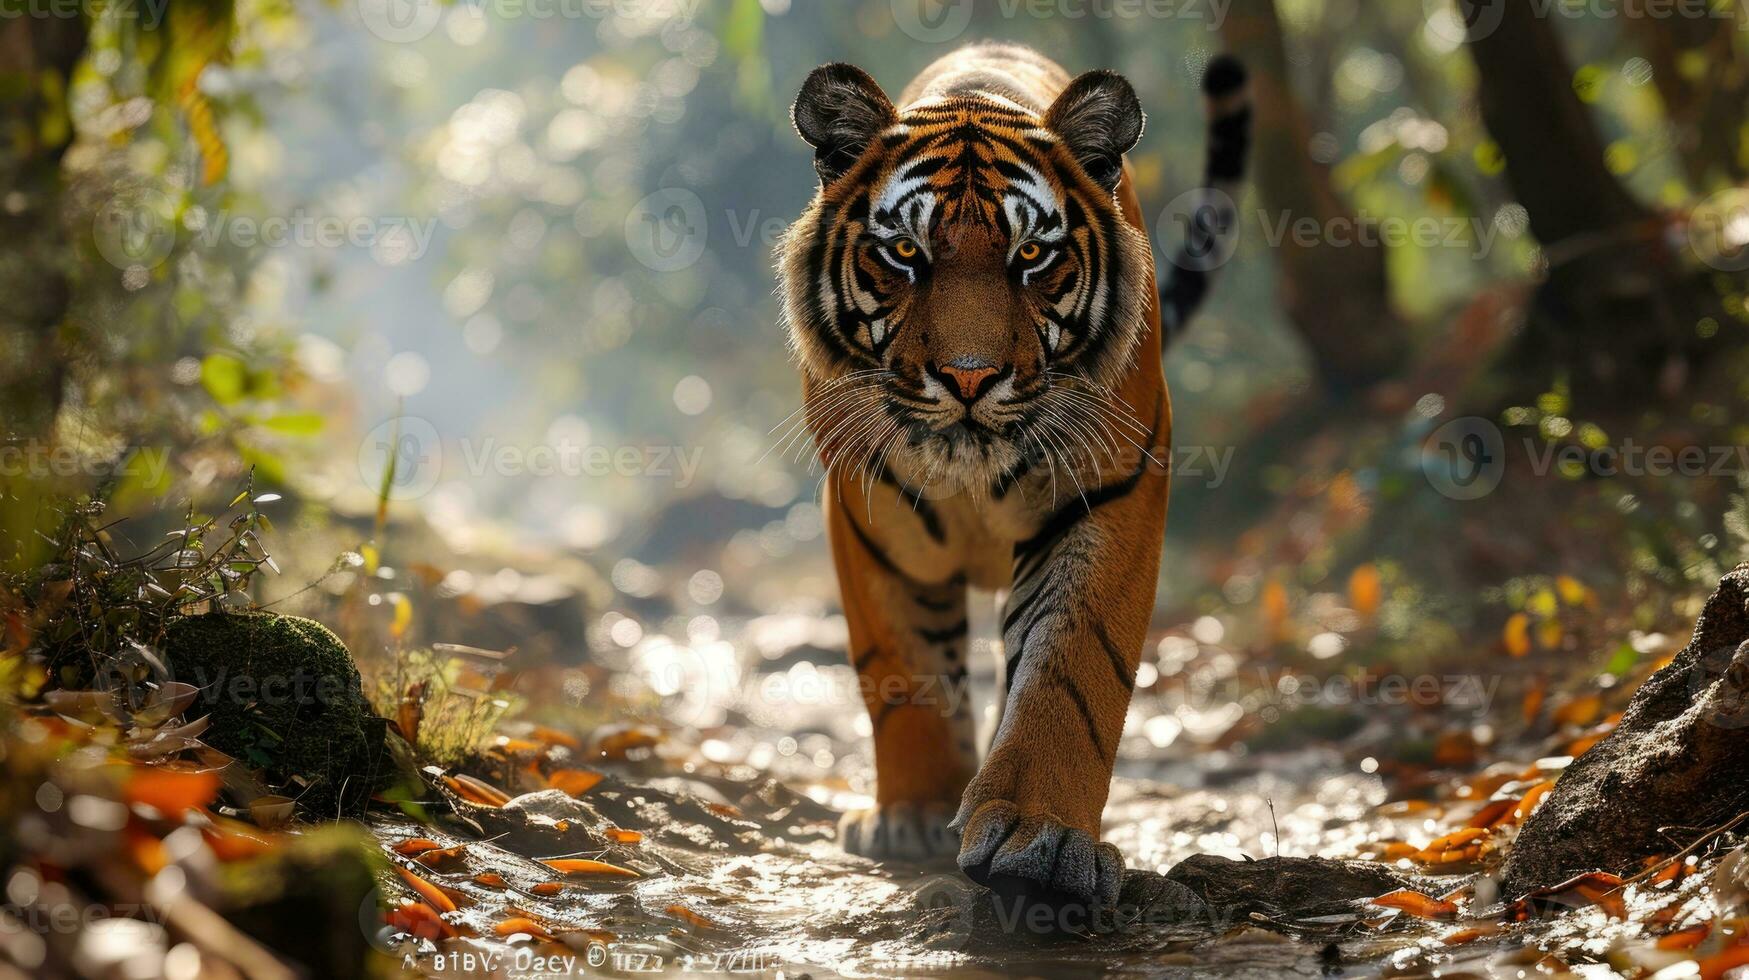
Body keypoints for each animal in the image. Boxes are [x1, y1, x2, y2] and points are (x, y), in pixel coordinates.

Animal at [776, 40, 1245, 910]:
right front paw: (914, 814)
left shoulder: (1110, 495)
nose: (969, 377)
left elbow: (1069, 672)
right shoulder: (868, 514)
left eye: (1031, 256)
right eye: (904, 252)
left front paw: (1042, 840)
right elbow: (907, 674)